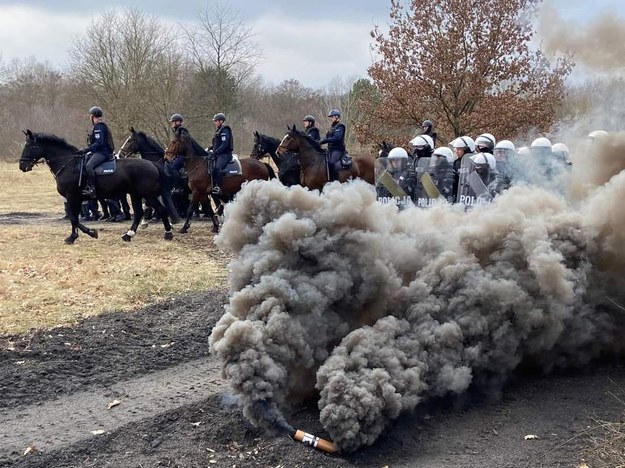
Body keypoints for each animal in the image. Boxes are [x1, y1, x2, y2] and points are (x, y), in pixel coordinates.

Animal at [19, 130, 173, 243]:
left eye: (30, 146)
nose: (22, 166)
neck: (67, 163)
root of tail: (152, 164)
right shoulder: (76, 198)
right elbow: (74, 218)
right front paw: (76, 236)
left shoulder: (72, 196)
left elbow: (74, 218)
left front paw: (87, 233)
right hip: (136, 194)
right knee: (139, 213)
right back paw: (128, 235)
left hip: (148, 194)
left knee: (160, 209)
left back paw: (168, 233)